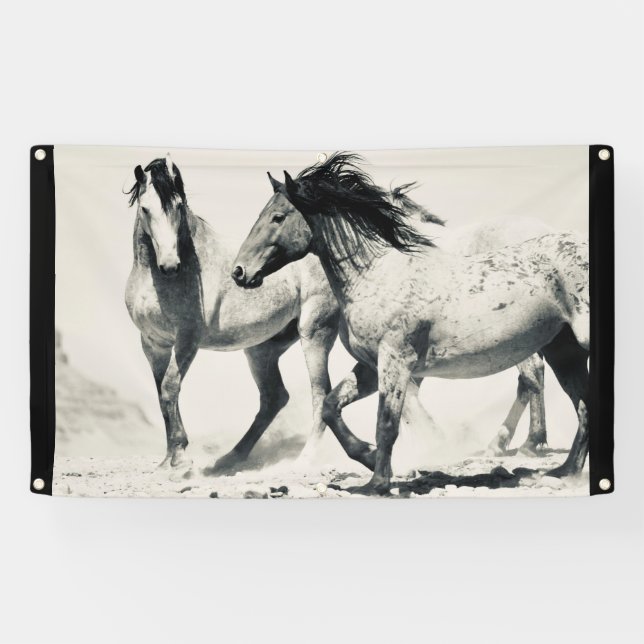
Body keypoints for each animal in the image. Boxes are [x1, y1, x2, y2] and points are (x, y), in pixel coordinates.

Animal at [124, 155, 344, 473]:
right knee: (274, 398)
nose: (169, 265)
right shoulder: (153, 344)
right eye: (145, 208)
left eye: (178, 206)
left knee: (319, 394)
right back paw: (230, 458)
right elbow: (163, 396)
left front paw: (181, 460)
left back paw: (303, 460)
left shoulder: (187, 341)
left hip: (314, 334)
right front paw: (168, 460)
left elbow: (169, 388)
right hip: (261, 349)